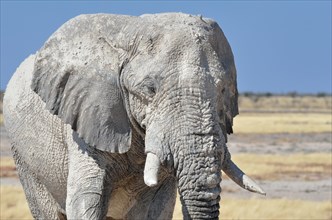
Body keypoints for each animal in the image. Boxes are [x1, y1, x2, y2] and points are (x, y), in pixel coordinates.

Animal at [3, 12, 264, 219]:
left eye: (223, 90)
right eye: (150, 89)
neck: (130, 32)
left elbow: (157, 208)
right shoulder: (88, 119)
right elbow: (87, 198)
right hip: (26, 161)